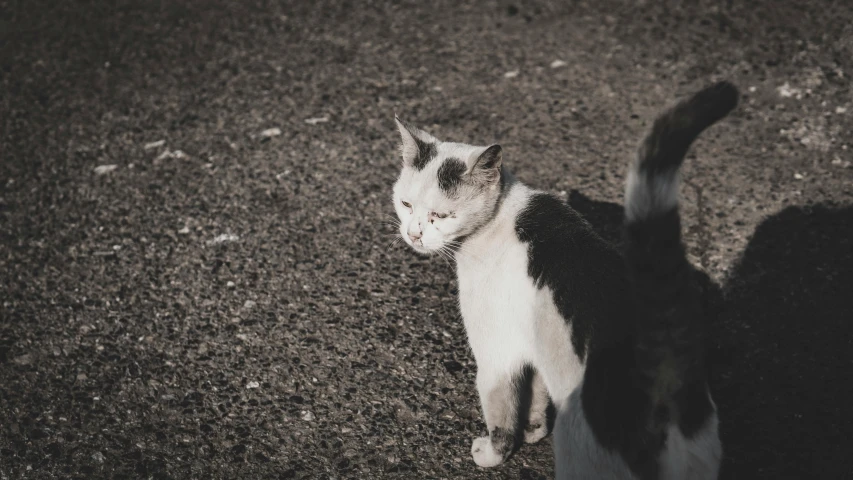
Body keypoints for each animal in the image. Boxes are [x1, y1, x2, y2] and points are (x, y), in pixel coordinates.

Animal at [390, 81, 736, 476]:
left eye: (441, 216)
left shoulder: (496, 355)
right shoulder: (538, 348)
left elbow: (502, 416)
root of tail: (659, 361)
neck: (499, 218)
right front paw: (534, 431)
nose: (413, 235)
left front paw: (493, 454)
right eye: (405, 204)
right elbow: (536, 399)